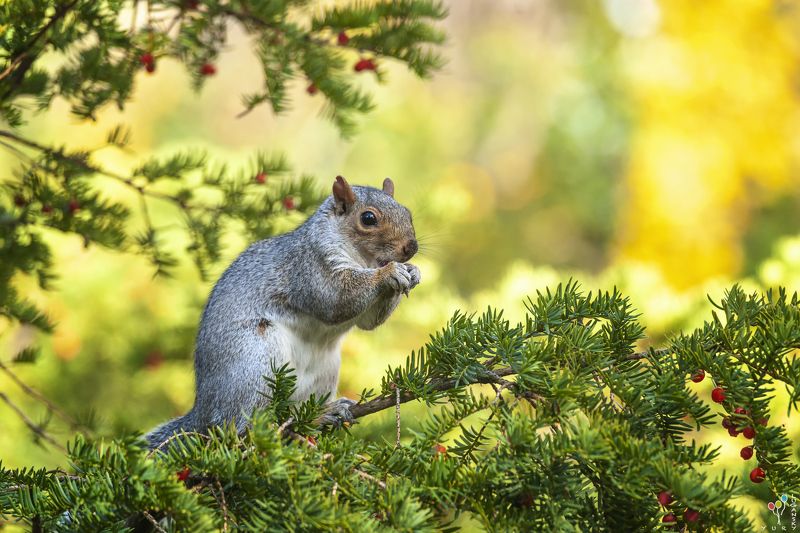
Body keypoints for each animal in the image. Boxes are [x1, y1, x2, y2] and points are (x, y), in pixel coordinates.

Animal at [145, 176, 420, 448]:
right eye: (368, 218)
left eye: (407, 213)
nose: (411, 247)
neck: (364, 259)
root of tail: (203, 413)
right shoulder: (310, 266)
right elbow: (335, 299)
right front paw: (389, 273)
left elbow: (368, 322)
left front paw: (413, 272)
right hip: (255, 363)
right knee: (246, 427)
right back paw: (317, 416)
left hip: (324, 371)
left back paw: (324, 412)